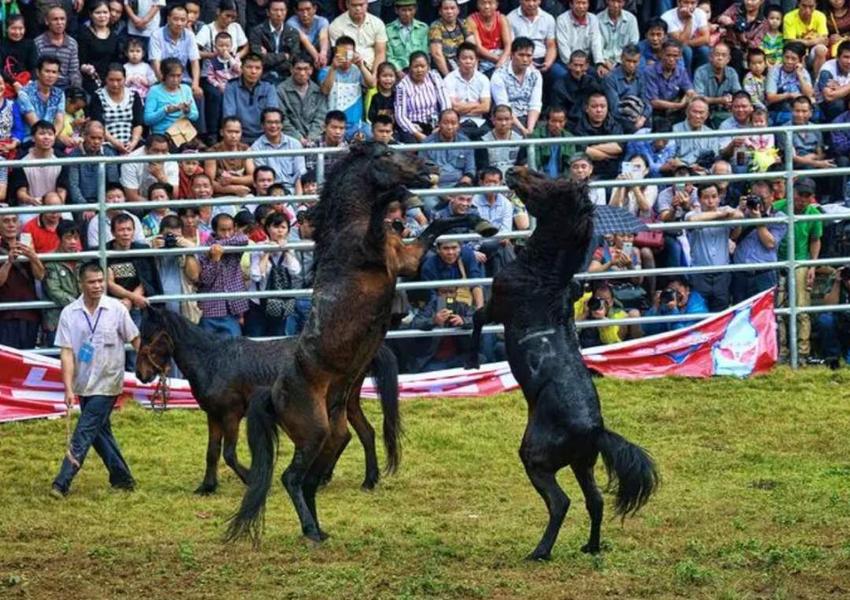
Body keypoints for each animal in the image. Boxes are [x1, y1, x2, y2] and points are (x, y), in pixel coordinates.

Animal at [134, 308, 400, 494]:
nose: (140, 374)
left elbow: (228, 454)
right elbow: (212, 452)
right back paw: (364, 480)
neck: (213, 360)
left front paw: (251, 478)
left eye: (148, 337)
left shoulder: (230, 415)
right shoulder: (213, 415)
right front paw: (207, 486)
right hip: (348, 403)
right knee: (363, 433)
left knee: (341, 436)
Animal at [225, 142, 490, 544]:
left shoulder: (405, 257)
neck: (349, 230)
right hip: (314, 433)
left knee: (311, 479)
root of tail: (271, 394)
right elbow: (407, 217)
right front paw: (401, 195)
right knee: (292, 478)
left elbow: (438, 226)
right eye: (387, 153)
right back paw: (312, 531)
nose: (428, 166)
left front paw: (480, 223)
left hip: (332, 435)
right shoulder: (393, 256)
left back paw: (318, 527)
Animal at [468, 166, 660, 560]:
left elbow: (477, 318)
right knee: (595, 501)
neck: (545, 273)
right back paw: (591, 546)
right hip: (581, 463)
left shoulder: (497, 304)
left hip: (536, 458)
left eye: (548, 183)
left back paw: (539, 551)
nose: (514, 170)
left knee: (561, 503)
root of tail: (595, 430)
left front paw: (471, 362)